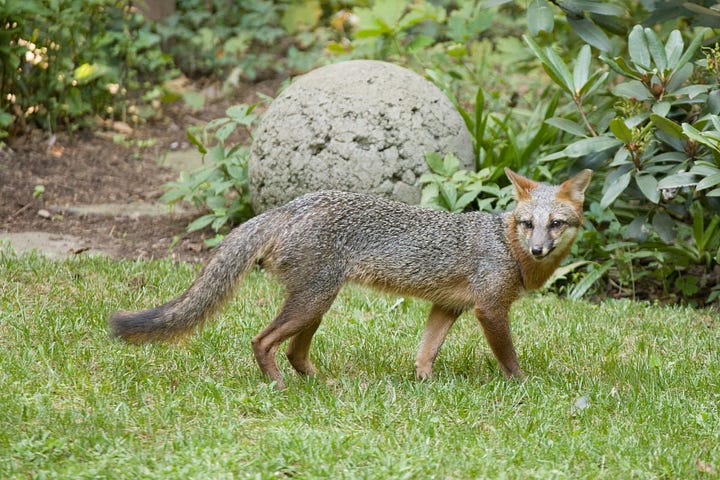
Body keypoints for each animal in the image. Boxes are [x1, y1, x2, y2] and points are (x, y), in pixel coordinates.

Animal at [110, 167, 592, 389]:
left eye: (556, 224)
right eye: (528, 224)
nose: (539, 248)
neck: (507, 247)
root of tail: (291, 206)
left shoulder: (448, 306)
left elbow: (425, 353)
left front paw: (427, 387)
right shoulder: (489, 309)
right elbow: (509, 359)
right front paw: (525, 387)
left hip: (316, 305)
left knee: (295, 352)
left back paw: (322, 384)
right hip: (313, 300)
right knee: (262, 341)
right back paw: (280, 387)